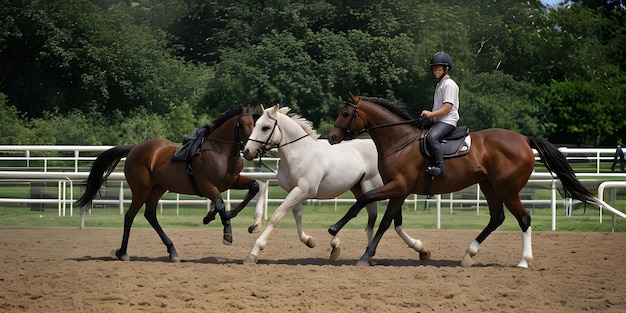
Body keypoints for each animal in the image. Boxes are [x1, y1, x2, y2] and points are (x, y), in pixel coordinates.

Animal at [75, 104, 256, 260]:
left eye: (254, 124)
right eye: (241, 125)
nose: (249, 150)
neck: (221, 152)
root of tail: (134, 149)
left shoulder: (231, 182)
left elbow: (252, 187)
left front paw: (213, 217)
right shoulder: (207, 186)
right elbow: (220, 202)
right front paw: (227, 232)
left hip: (158, 188)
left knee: (150, 215)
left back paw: (171, 250)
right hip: (141, 190)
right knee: (130, 216)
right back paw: (123, 252)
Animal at [239, 104, 424, 264]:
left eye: (265, 127)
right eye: (256, 125)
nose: (247, 151)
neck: (300, 154)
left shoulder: (302, 190)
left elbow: (277, 215)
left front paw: (253, 253)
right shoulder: (295, 190)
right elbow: (297, 214)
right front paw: (309, 240)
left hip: (376, 188)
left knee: (379, 218)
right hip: (360, 188)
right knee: (374, 218)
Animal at [326, 92, 596, 266]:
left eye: (346, 113)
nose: (331, 137)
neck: (400, 141)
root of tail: (524, 139)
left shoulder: (398, 186)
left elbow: (365, 202)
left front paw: (337, 232)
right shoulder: (400, 190)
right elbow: (389, 221)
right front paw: (374, 253)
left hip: (507, 189)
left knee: (523, 219)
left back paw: (522, 261)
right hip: (489, 186)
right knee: (497, 218)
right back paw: (469, 255)